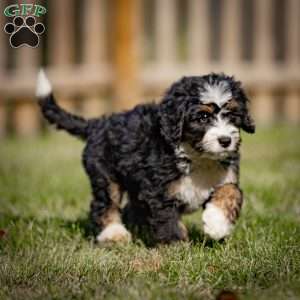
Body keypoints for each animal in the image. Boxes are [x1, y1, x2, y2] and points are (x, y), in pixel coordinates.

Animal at [35, 71, 255, 245]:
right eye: (203, 117)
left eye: (232, 114)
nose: (225, 140)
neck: (197, 157)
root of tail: (97, 124)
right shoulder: (158, 191)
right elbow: (168, 221)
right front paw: (176, 248)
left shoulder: (225, 176)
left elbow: (231, 192)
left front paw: (217, 225)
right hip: (105, 176)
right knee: (104, 204)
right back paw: (114, 234)